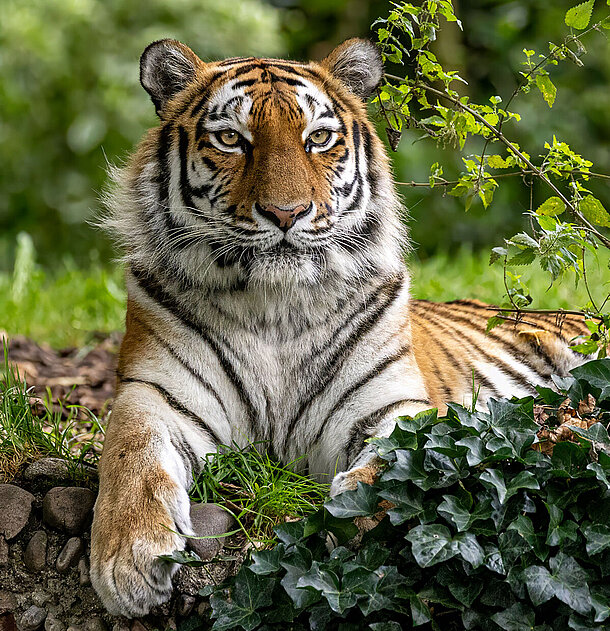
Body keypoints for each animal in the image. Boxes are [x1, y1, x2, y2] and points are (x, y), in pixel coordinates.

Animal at [89, 38, 584, 616]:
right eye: (231, 139)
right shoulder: (154, 393)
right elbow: (132, 458)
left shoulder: (392, 403)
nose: (287, 213)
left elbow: (403, 458)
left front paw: (360, 513)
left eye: (318, 138)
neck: (274, 307)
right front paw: (129, 558)